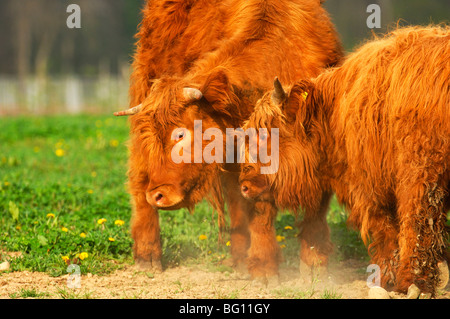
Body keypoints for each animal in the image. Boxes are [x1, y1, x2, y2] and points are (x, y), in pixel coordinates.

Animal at [118, 0, 342, 282]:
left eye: (180, 134)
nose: (157, 195)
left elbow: (316, 208)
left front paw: (315, 265)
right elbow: (260, 210)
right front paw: (264, 267)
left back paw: (238, 258)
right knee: (138, 179)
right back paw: (147, 254)